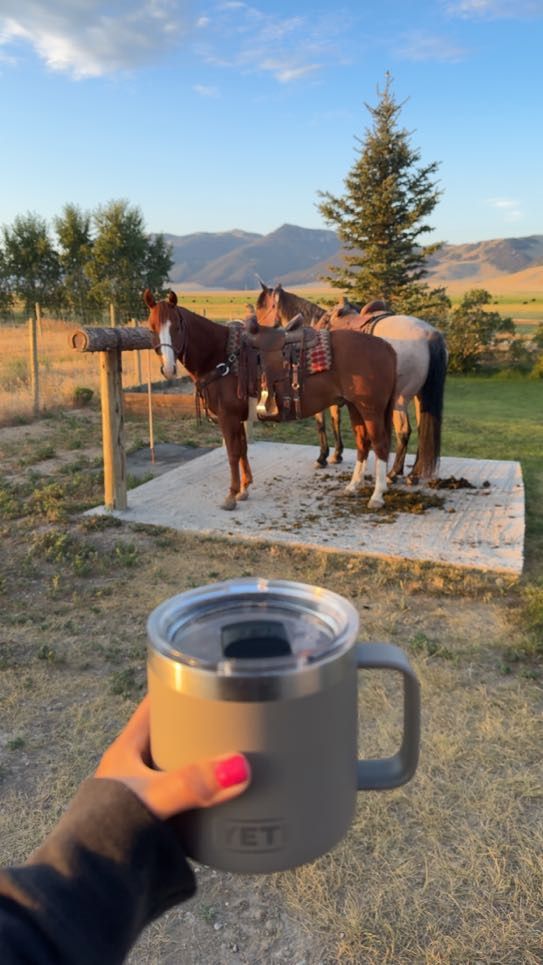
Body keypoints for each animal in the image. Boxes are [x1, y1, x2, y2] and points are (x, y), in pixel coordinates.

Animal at [144, 289, 397, 510]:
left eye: (177, 326)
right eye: (151, 327)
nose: (168, 369)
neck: (222, 355)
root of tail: (387, 346)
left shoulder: (228, 417)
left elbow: (233, 453)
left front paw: (231, 495)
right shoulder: (239, 417)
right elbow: (243, 448)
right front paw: (245, 489)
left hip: (371, 410)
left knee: (381, 444)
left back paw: (377, 496)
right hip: (356, 408)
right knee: (363, 442)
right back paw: (353, 486)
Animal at [256, 283, 448, 482]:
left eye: (262, 306)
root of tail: (429, 335)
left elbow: (321, 423)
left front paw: (322, 457)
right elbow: (336, 420)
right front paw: (337, 454)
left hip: (399, 399)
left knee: (404, 431)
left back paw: (394, 473)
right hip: (420, 396)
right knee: (422, 429)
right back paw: (413, 474)